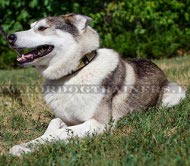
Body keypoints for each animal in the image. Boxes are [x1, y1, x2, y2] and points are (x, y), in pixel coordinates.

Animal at [7, 13, 186, 156]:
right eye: (31, 27)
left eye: (42, 28)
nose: (9, 37)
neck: (73, 72)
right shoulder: (68, 119)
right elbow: (53, 124)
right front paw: (25, 146)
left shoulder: (98, 124)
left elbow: (61, 132)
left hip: (174, 93)